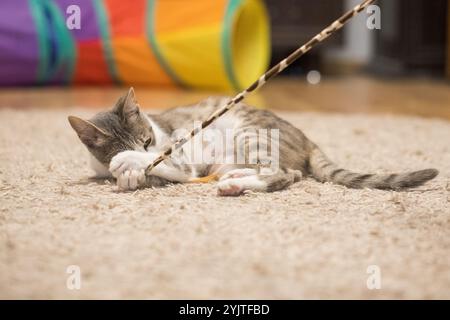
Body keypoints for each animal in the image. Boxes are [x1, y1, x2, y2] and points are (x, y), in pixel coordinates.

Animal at [68, 87, 438, 195]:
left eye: (147, 140)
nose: (148, 150)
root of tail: (306, 138)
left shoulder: (181, 156)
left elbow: (171, 164)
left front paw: (128, 165)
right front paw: (129, 173)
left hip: (251, 132)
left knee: (285, 174)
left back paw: (238, 184)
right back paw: (234, 180)